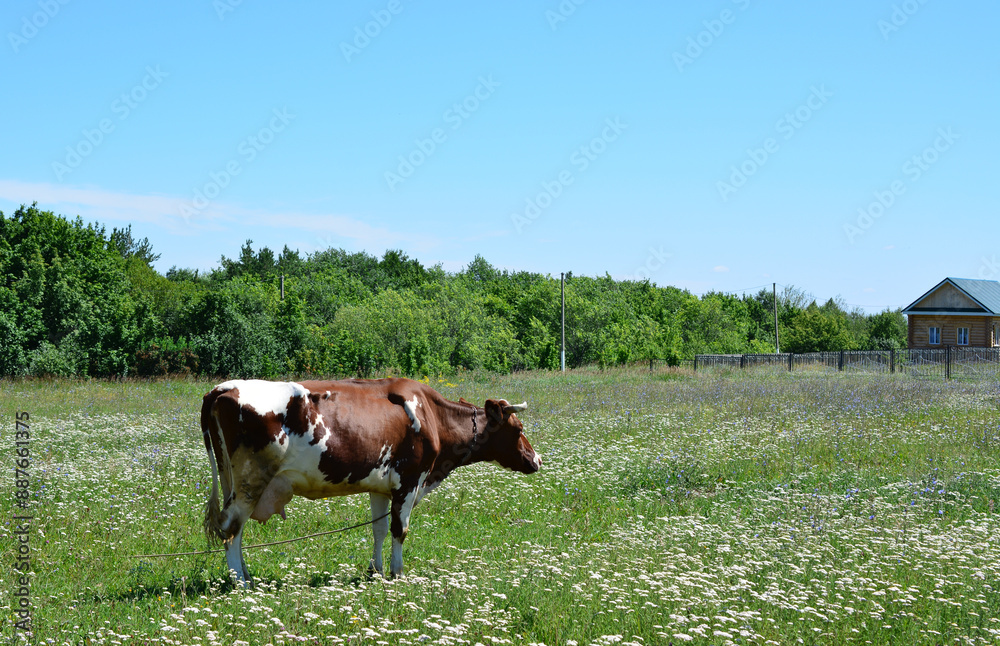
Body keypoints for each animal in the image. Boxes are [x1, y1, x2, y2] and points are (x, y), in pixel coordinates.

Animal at [201, 377, 541, 586]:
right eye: (519, 427)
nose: (537, 460)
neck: (431, 413)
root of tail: (223, 388)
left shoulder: (380, 486)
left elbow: (379, 528)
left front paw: (375, 571)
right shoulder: (409, 481)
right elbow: (399, 529)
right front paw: (397, 572)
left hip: (234, 480)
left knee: (234, 530)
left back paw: (246, 576)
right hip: (250, 480)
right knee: (231, 527)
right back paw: (241, 582)